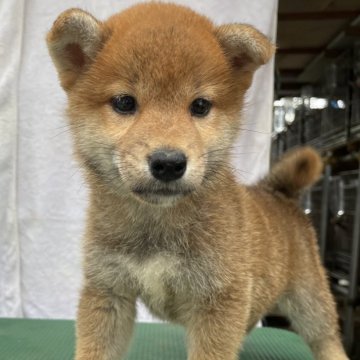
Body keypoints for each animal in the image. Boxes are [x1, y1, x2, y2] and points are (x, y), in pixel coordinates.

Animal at [46, 3, 348, 360]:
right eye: (124, 103)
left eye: (200, 106)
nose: (168, 163)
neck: (157, 223)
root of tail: (278, 192)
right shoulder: (108, 289)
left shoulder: (218, 299)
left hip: (309, 297)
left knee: (326, 336)